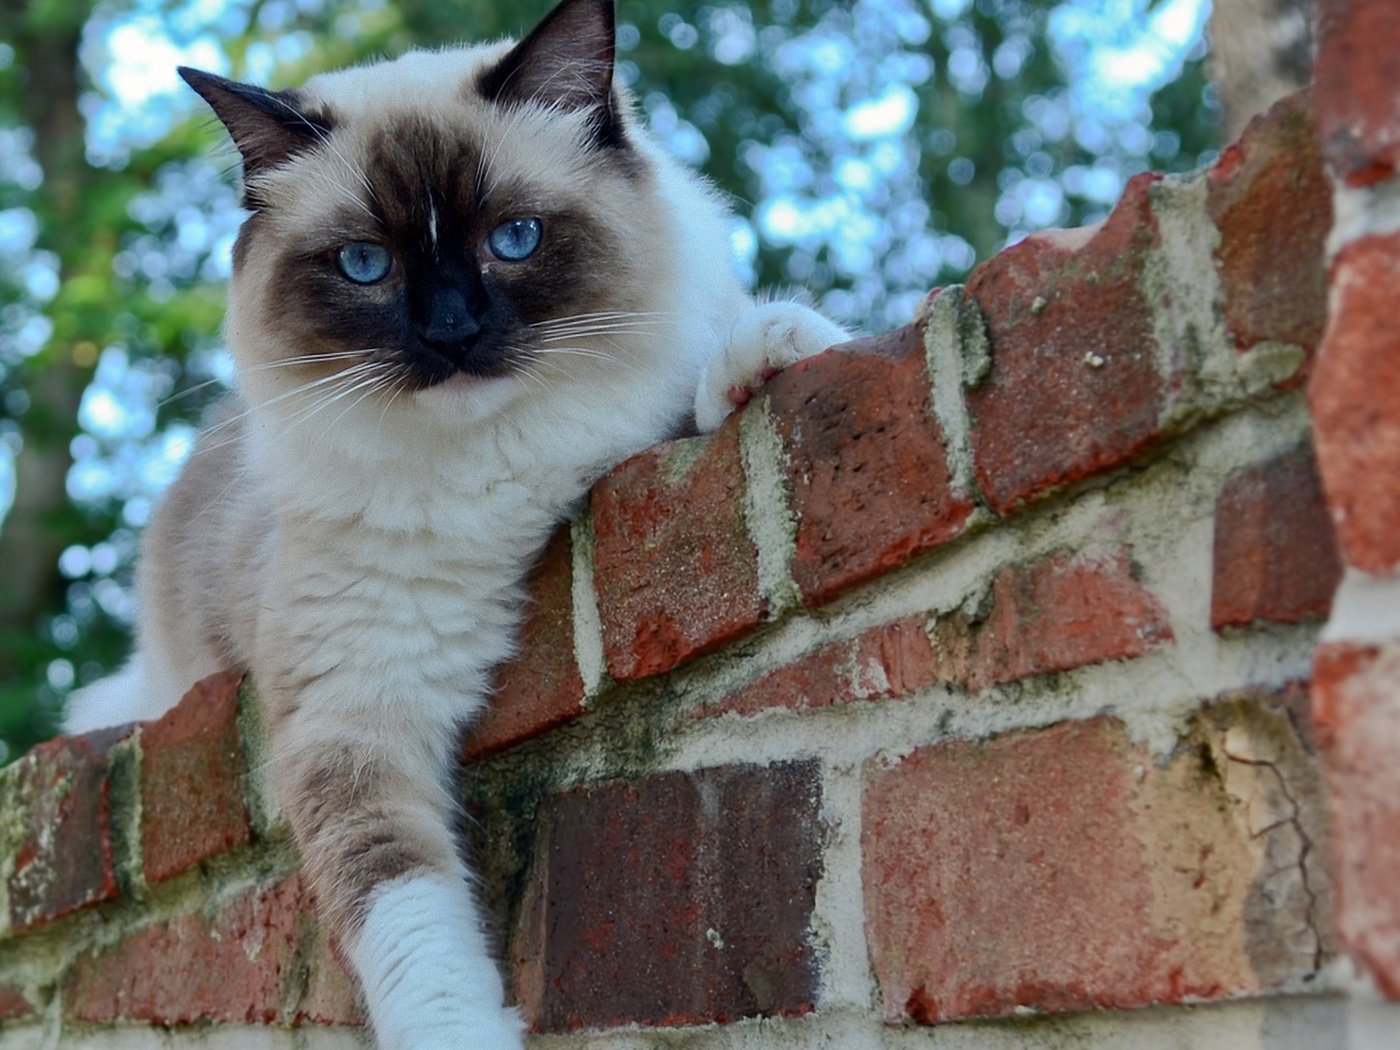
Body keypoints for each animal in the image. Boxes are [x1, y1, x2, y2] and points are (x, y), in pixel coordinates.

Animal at [65, 0, 845, 1047]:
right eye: (366, 264)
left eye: (513, 239)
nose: (451, 334)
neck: (496, 475)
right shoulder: (354, 722)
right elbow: (410, 923)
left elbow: (699, 398)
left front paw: (772, 349)